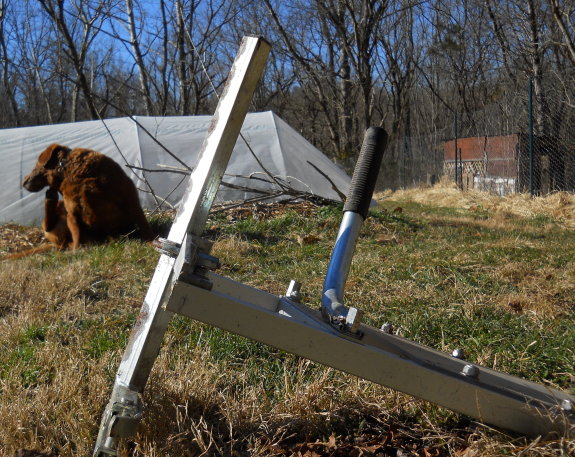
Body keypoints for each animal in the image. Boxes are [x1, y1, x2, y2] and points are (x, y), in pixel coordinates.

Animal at [22, 142, 154, 249]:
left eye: (35, 165)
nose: (23, 181)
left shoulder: (130, 197)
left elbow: (144, 225)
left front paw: (151, 242)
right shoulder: (72, 214)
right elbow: (76, 237)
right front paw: (77, 252)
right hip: (61, 212)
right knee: (52, 230)